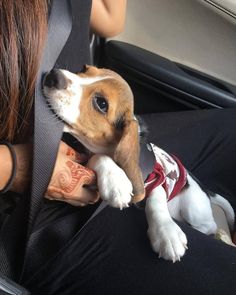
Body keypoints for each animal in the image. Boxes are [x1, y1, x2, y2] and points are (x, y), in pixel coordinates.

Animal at [43, 66, 235, 262]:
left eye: (102, 104)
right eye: (84, 69)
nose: (53, 74)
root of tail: (204, 189)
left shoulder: (158, 176)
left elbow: (155, 200)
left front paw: (167, 233)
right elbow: (99, 158)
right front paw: (116, 181)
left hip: (193, 208)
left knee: (210, 226)